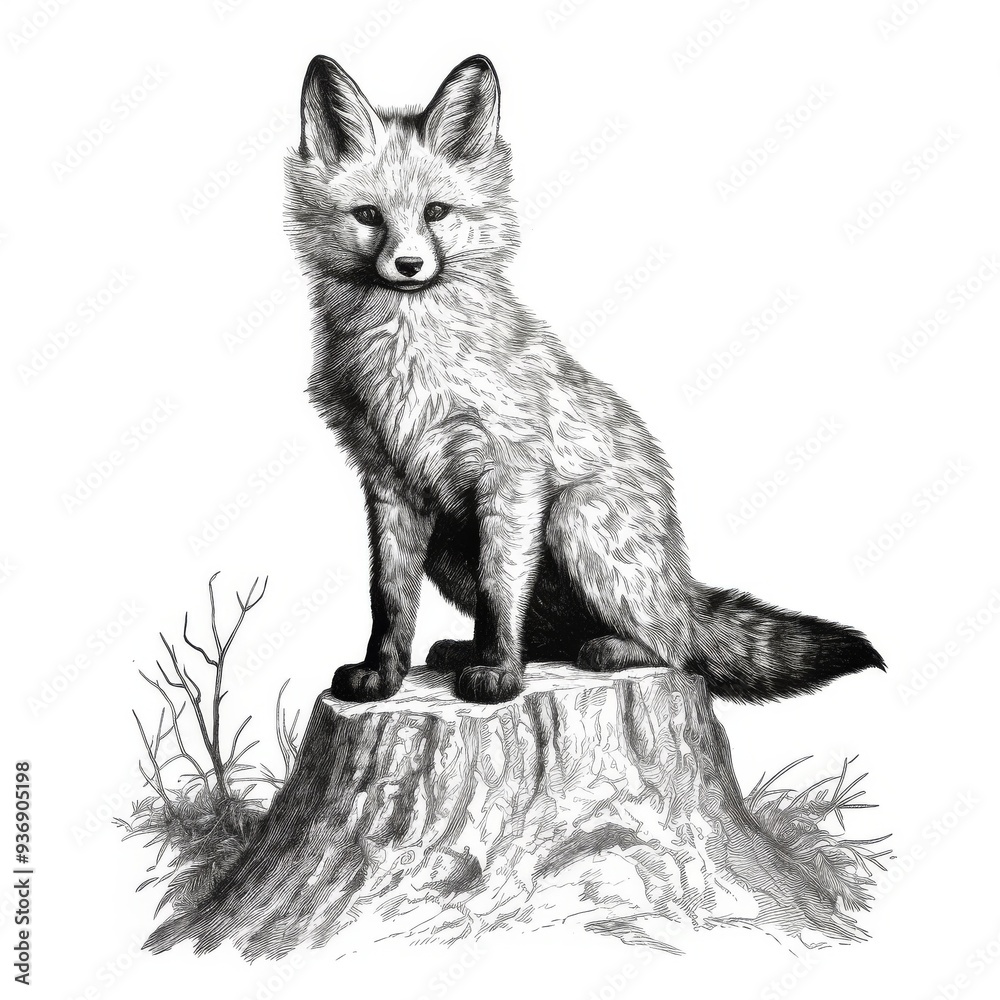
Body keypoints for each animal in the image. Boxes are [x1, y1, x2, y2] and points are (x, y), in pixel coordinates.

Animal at [285, 54, 886, 705]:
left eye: (436, 213)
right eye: (369, 215)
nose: (410, 265)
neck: (407, 362)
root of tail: (682, 586)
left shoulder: (514, 475)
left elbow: (501, 593)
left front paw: (500, 676)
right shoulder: (390, 484)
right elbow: (390, 600)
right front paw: (384, 674)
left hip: (575, 517)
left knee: (674, 648)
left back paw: (605, 649)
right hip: (452, 549)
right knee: (556, 633)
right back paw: (479, 651)